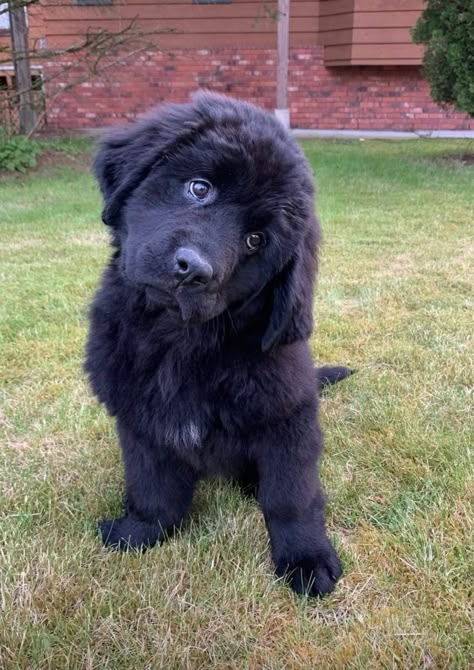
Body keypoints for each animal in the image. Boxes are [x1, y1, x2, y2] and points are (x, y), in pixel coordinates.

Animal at [86, 93, 352, 600]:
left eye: (255, 239)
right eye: (198, 188)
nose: (193, 269)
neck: (180, 342)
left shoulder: (288, 421)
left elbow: (291, 496)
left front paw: (305, 559)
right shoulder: (141, 422)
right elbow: (152, 489)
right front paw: (138, 533)